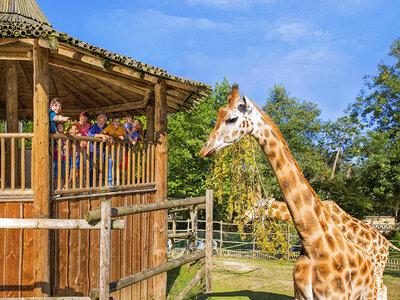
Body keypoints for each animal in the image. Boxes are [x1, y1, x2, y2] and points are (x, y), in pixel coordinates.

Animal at [202, 84, 380, 300]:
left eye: (232, 118)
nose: (204, 149)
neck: (314, 245)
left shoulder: (335, 296)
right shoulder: (300, 294)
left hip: (370, 291)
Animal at [244, 193, 400, 298]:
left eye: (255, 206)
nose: (243, 217)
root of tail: (388, 243)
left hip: (377, 265)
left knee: (381, 288)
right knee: (382, 287)